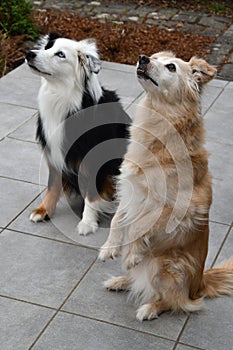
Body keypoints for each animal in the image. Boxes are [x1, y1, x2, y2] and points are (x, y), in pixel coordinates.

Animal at [26, 33, 131, 235]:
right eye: (47, 47)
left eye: (60, 54)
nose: (29, 53)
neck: (63, 97)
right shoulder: (54, 154)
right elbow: (52, 184)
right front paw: (44, 210)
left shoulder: (95, 158)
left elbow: (91, 192)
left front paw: (87, 223)